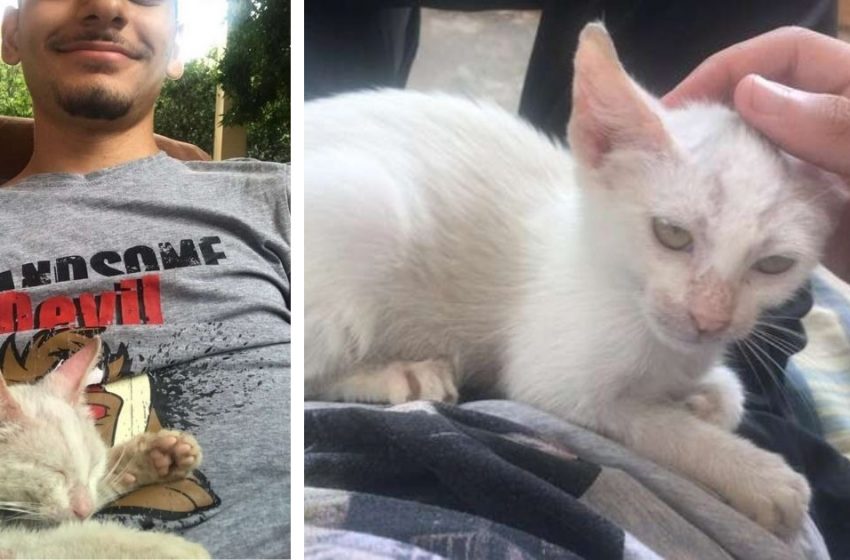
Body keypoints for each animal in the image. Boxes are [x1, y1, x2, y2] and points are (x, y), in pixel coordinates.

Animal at [0, 336, 207, 560]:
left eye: (94, 466)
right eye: (55, 472)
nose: (85, 510)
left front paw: (156, 457)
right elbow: (64, 541)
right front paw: (166, 548)